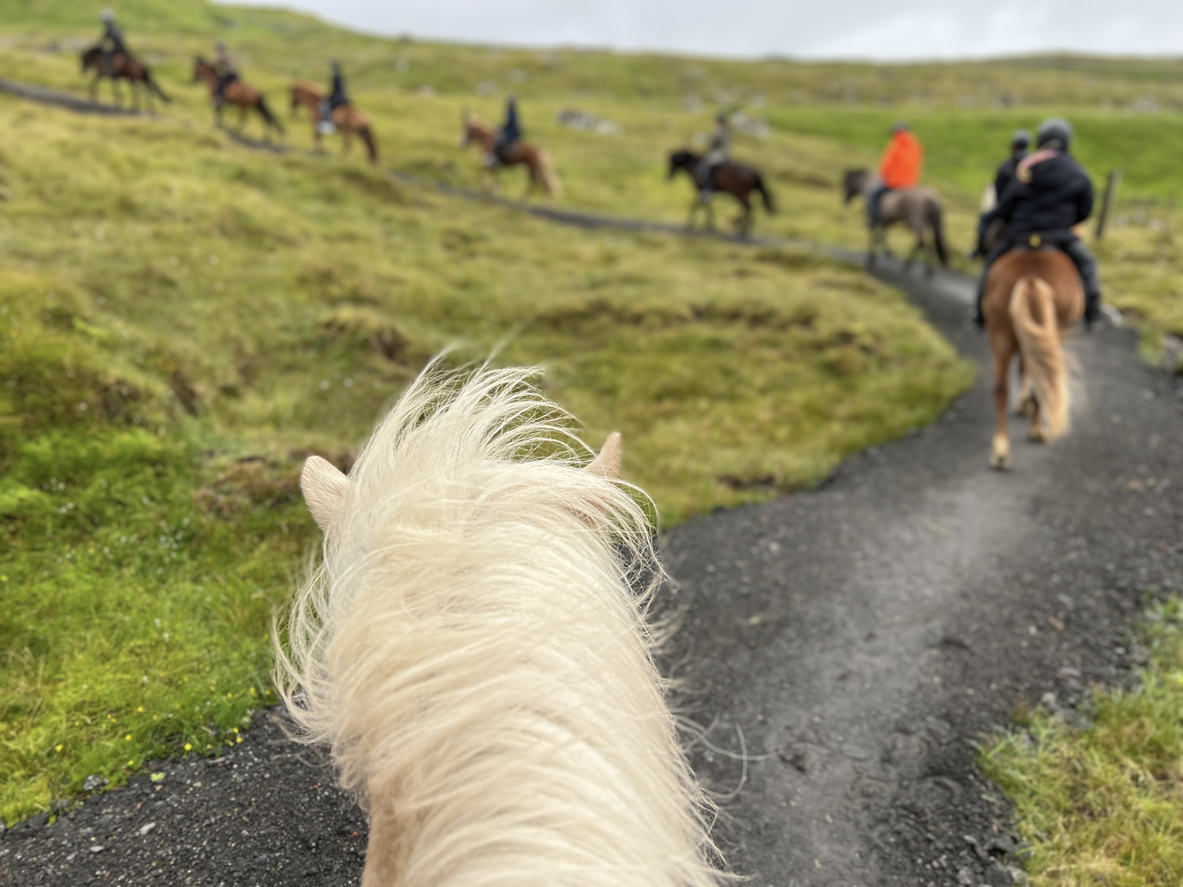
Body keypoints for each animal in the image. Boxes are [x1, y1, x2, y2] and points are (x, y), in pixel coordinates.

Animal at [982, 246, 1084, 470]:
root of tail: (1030, 277)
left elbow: (1023, 367)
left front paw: (1022, 403)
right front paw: (1025, 405)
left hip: (1000, 336)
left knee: (1001, 389)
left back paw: (1000, 450)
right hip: (1054, 335)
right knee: (1043, 384)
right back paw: (1037, 430)